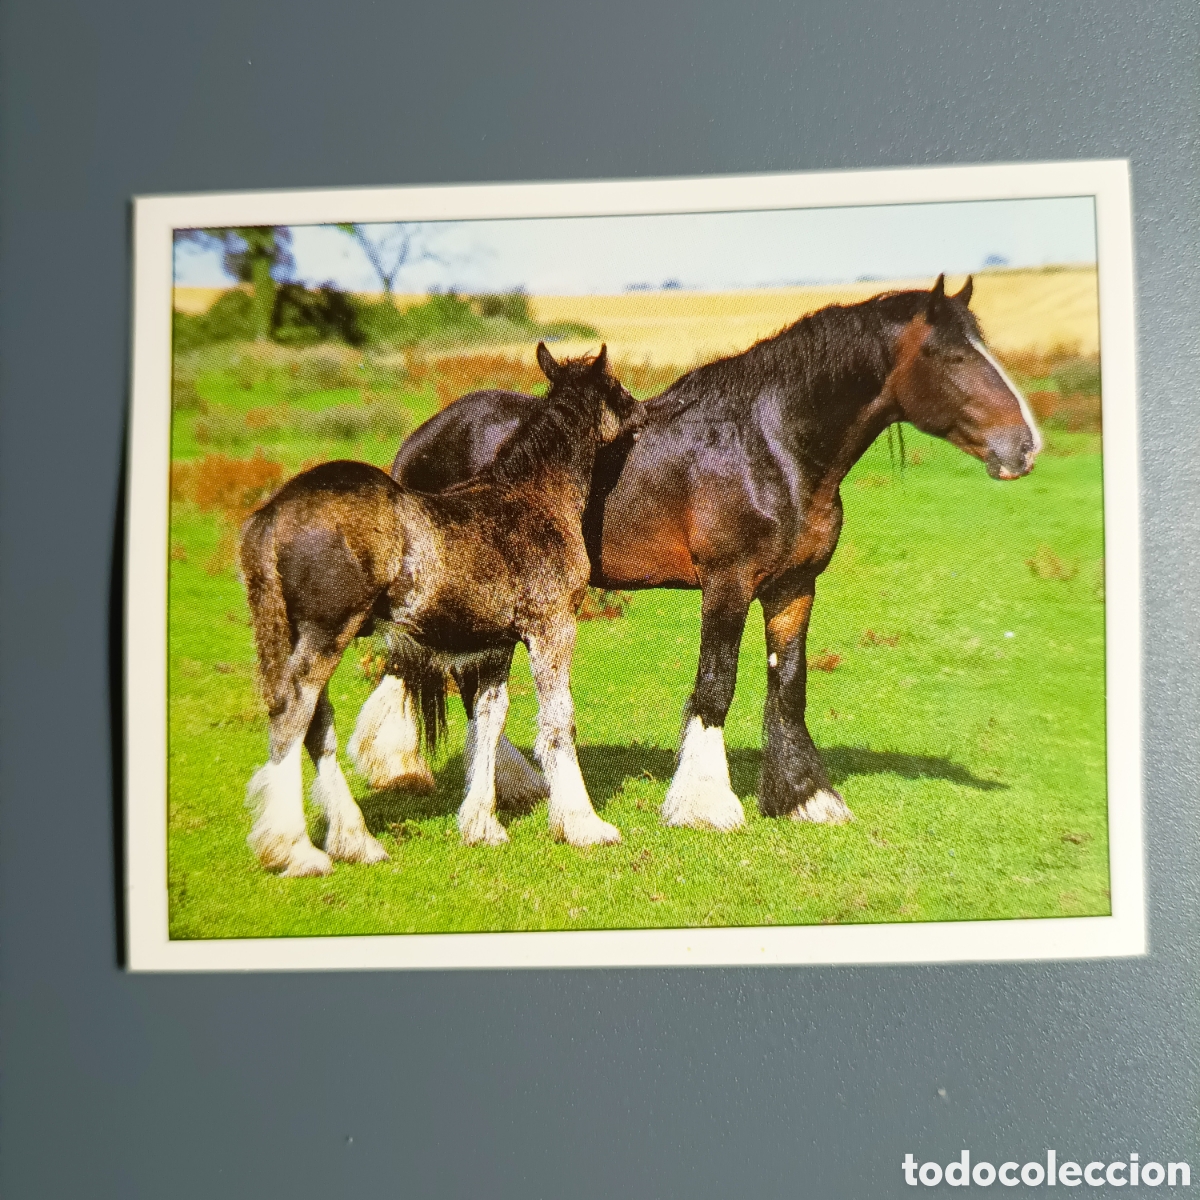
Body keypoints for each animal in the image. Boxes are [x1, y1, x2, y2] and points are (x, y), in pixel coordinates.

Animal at [238, 343, 641, 876]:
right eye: (614, 385)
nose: (641, 413)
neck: (533, 498)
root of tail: (271, 514)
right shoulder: (553, 628)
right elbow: (559, 722)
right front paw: (584, 825)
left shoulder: (496, 645)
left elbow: (489, 718)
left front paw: (482, 825)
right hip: (326, 634)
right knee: (293, 711)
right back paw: (296, 849)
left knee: (316, 723)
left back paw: (356, 841)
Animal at [349, 275, 1041, 833]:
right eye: (949, 354)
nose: (1025, 446)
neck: (771, 448)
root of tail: (421, 437)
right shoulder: (728, 584)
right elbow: (716, 686)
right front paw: (705, 804)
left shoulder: (794, 587)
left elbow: (788, 684)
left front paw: (804, 797)